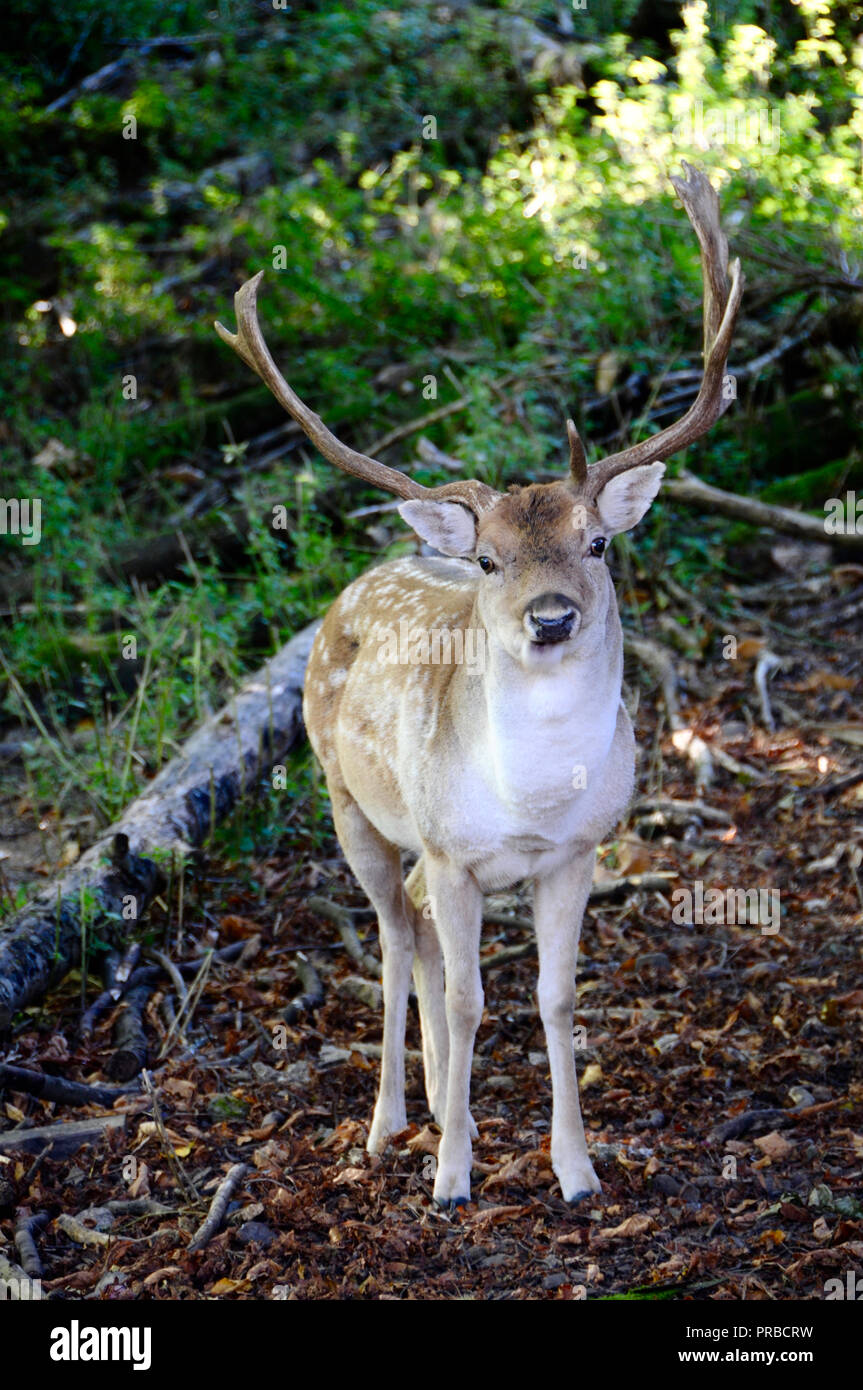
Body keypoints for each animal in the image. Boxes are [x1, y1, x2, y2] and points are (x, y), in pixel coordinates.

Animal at [215, 162, 743, 1207]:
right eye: (492, 560)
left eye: (598, 542)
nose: (551, 617)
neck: (527, 799)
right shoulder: (456, 853)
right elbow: (466, 998)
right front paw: (453, 1174)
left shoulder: (576, 851)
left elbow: (554, 996)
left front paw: (575, 1171)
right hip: (349, 804)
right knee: (391, 932)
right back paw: (390, 1122)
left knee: (414, 924)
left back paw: (428, 1094)